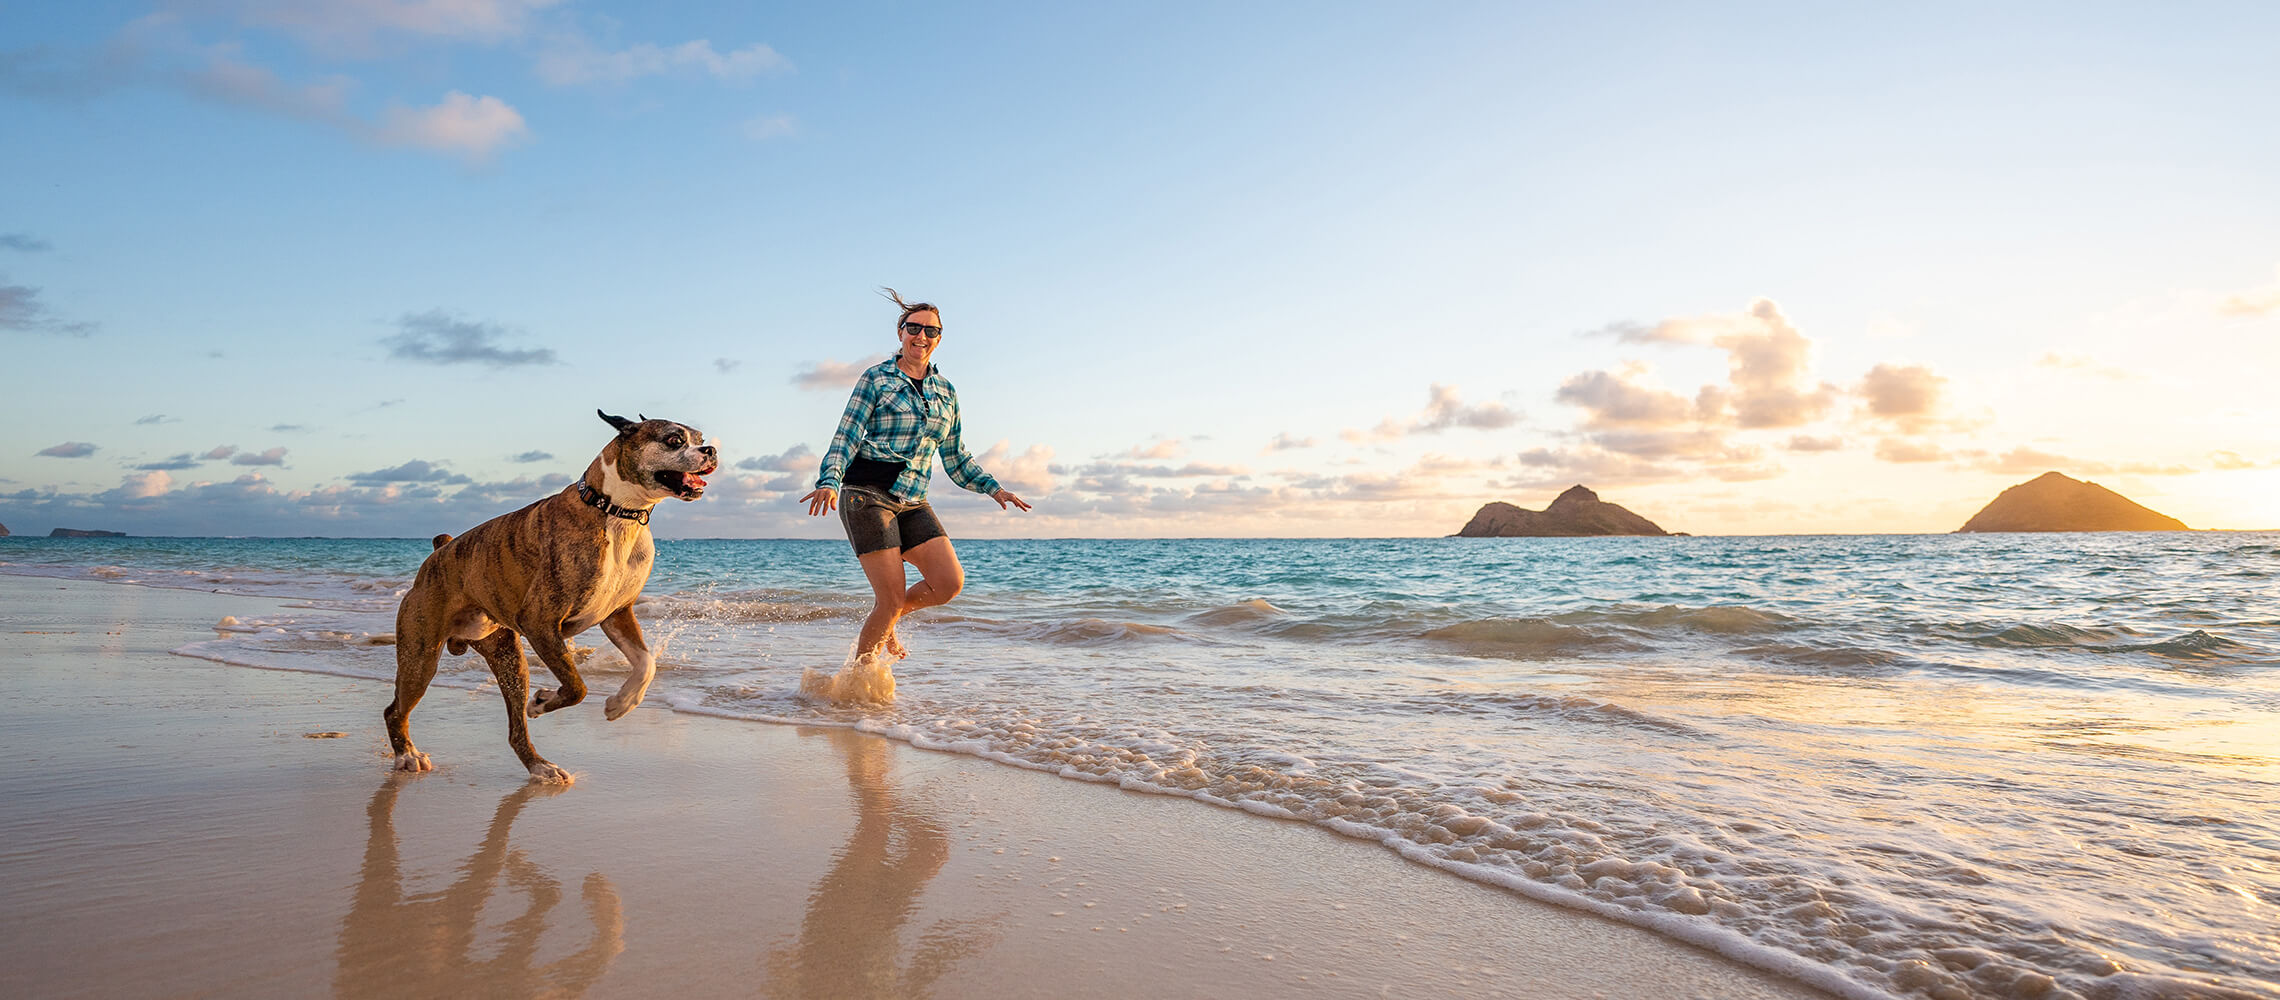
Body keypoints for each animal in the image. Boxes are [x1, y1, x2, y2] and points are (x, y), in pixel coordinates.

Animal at [383, 410, 715, 788]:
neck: (617, 512)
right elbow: (576, 687)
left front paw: (621, 704)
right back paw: (407, 755)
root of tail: (440, 551)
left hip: (510, 661)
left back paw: (540, 766)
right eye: (674, 440)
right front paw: (542, 702)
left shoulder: (617, 614)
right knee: (394, 710)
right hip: (421, 657)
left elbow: (646, 663)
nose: (711, 450)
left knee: (515, 730)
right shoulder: (540, 622)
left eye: (700, 438)